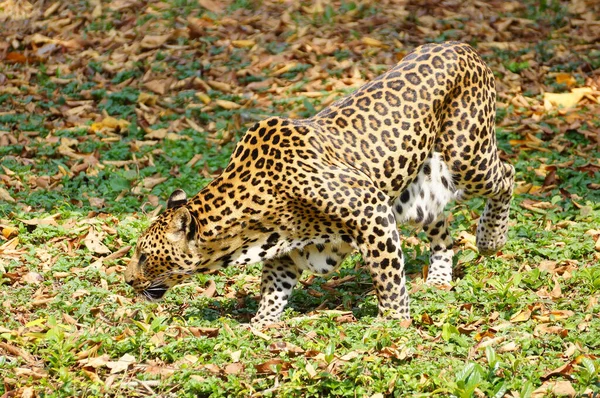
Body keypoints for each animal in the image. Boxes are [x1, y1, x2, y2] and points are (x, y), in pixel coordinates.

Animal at [124, 41, 512, 326]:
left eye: (144, 255)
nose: (127, 281)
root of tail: (459, 45)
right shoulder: (284, 247)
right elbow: (273, 289)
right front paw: (260, 327)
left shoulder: (372, 212)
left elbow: (388, 278)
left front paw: (395, 324)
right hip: (418, 192)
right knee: (442, 229)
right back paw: (438, 279)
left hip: (468, 157)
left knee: (506, 173)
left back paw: (490, 239)